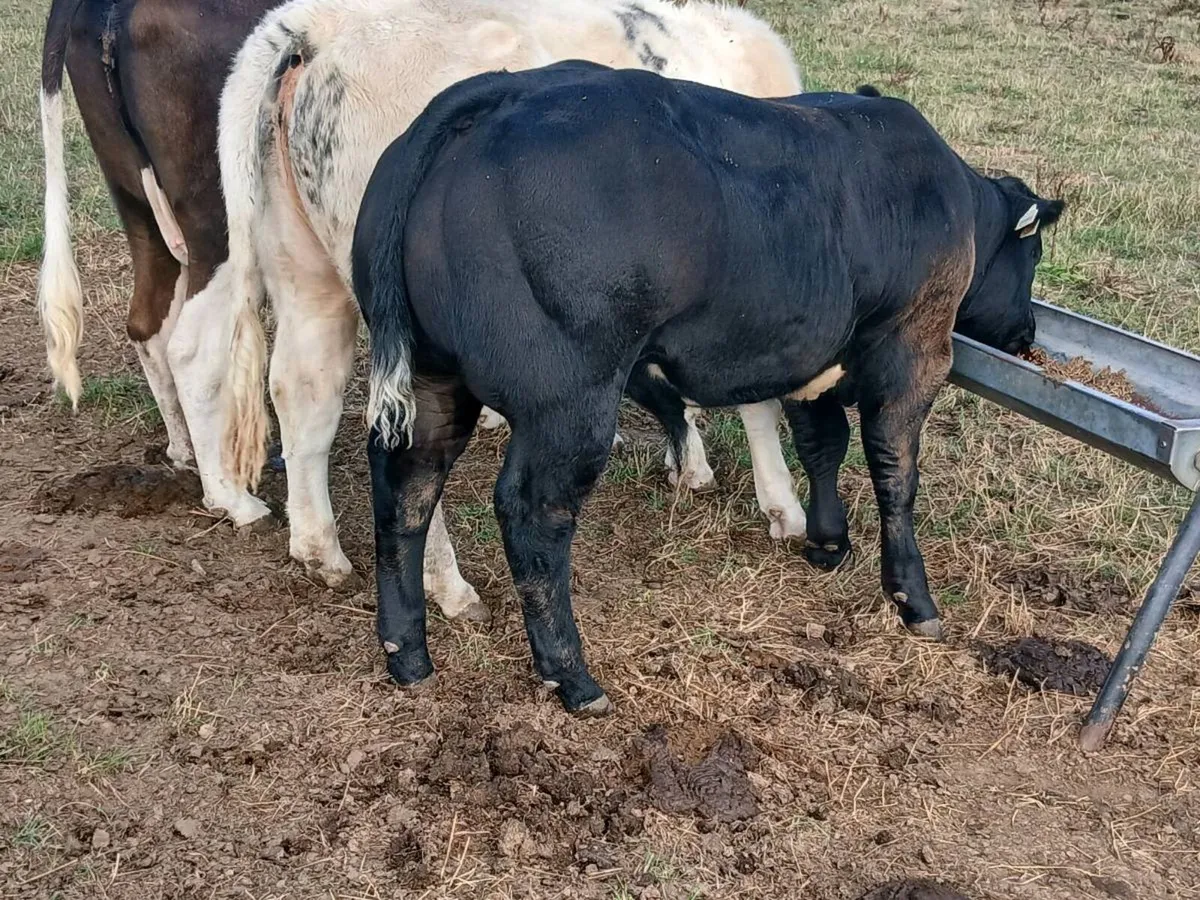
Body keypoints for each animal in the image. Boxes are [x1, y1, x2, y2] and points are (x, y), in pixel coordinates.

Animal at [203, 0, 806, 620]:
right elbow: (758, 399)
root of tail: (310, 26)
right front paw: (781, 503)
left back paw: (319, 549)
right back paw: (448, 586)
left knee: (302, 392)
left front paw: (691, 462)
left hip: (303, 271)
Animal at [351, 63, 1065, 714]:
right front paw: (912, 597)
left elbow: (823, 446)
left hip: (433, 378)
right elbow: (895, 471)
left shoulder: (809, 355)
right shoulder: (916, 346)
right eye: (1030, 257)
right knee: (531, 512)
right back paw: (572, 676)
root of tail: (502, 91)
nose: (1028, 334)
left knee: (404, 489)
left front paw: (827, 542)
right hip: (570, 398)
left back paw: (407, 653)